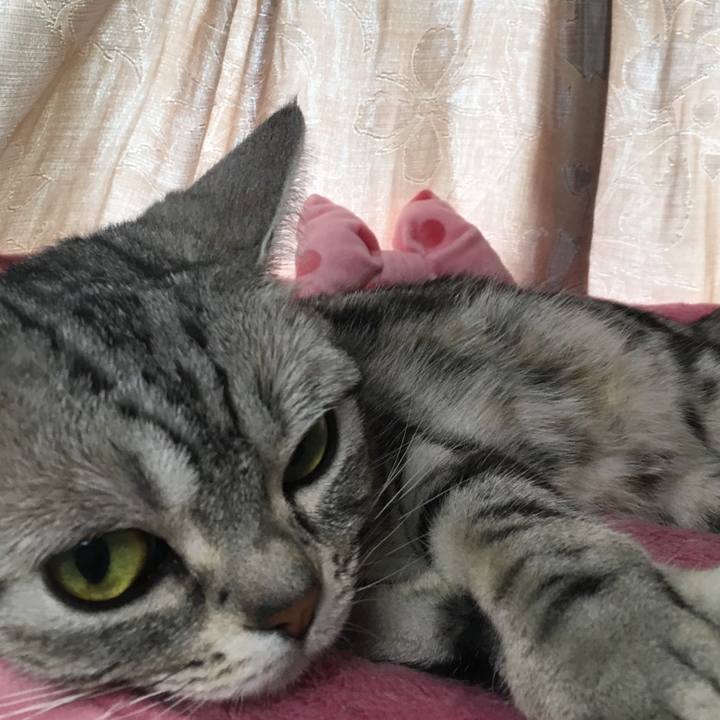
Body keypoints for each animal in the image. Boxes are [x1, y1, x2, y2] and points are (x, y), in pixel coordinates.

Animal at [1, 103, 720, 720]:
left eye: (310, 452)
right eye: (99, 565)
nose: (297, 607)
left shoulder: (407, 444)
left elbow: (524, 529)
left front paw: (620, 652)